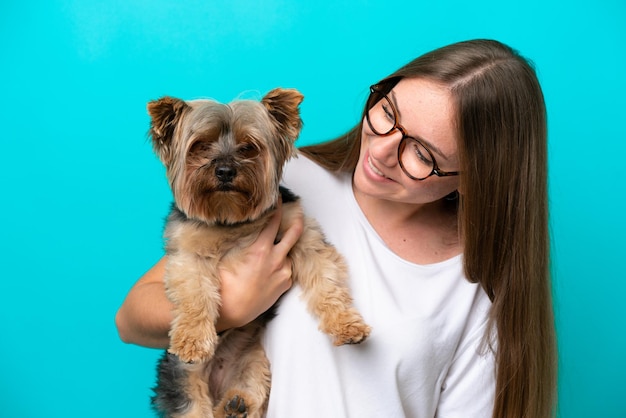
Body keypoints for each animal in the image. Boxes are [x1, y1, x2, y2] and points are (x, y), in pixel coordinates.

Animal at [145, 88, 370, 418]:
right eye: (201, 145)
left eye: (248, 147)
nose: (225, 171)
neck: (231, 218)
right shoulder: (187, 254)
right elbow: (195, 295)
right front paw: (192, 340)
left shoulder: (302, 236)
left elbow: (326, 281)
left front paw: (346, 323)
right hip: (180, 377)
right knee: (192, 403)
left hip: (255, 358)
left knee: (251, 382)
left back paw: (236, 404)